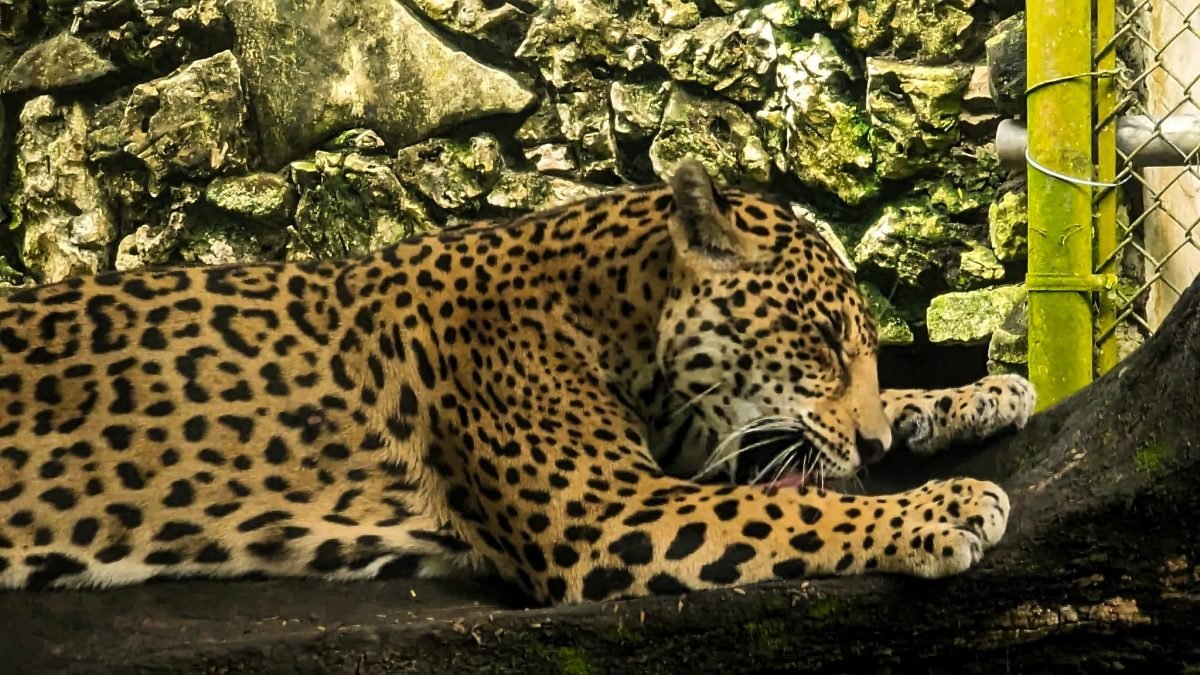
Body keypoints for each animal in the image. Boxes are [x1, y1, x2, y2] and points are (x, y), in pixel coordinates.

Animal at [0, 158, 1034, 604]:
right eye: (817, 338)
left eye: (862, 345)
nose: (871, 446)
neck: (612, 315)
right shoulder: (611, 513)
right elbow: (796, 509)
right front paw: (947, 506)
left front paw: (979, 395)